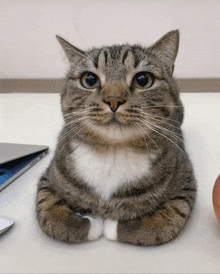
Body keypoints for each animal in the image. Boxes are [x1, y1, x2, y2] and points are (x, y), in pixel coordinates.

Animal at [35, 30, 196, 246]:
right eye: (89, 79)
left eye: (143, 79)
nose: (113, 100)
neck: (113, 151)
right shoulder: (48, 178)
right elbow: (50, 214)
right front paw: (91, 224)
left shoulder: (185, 184)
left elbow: (165, 221)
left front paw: (113, 227)